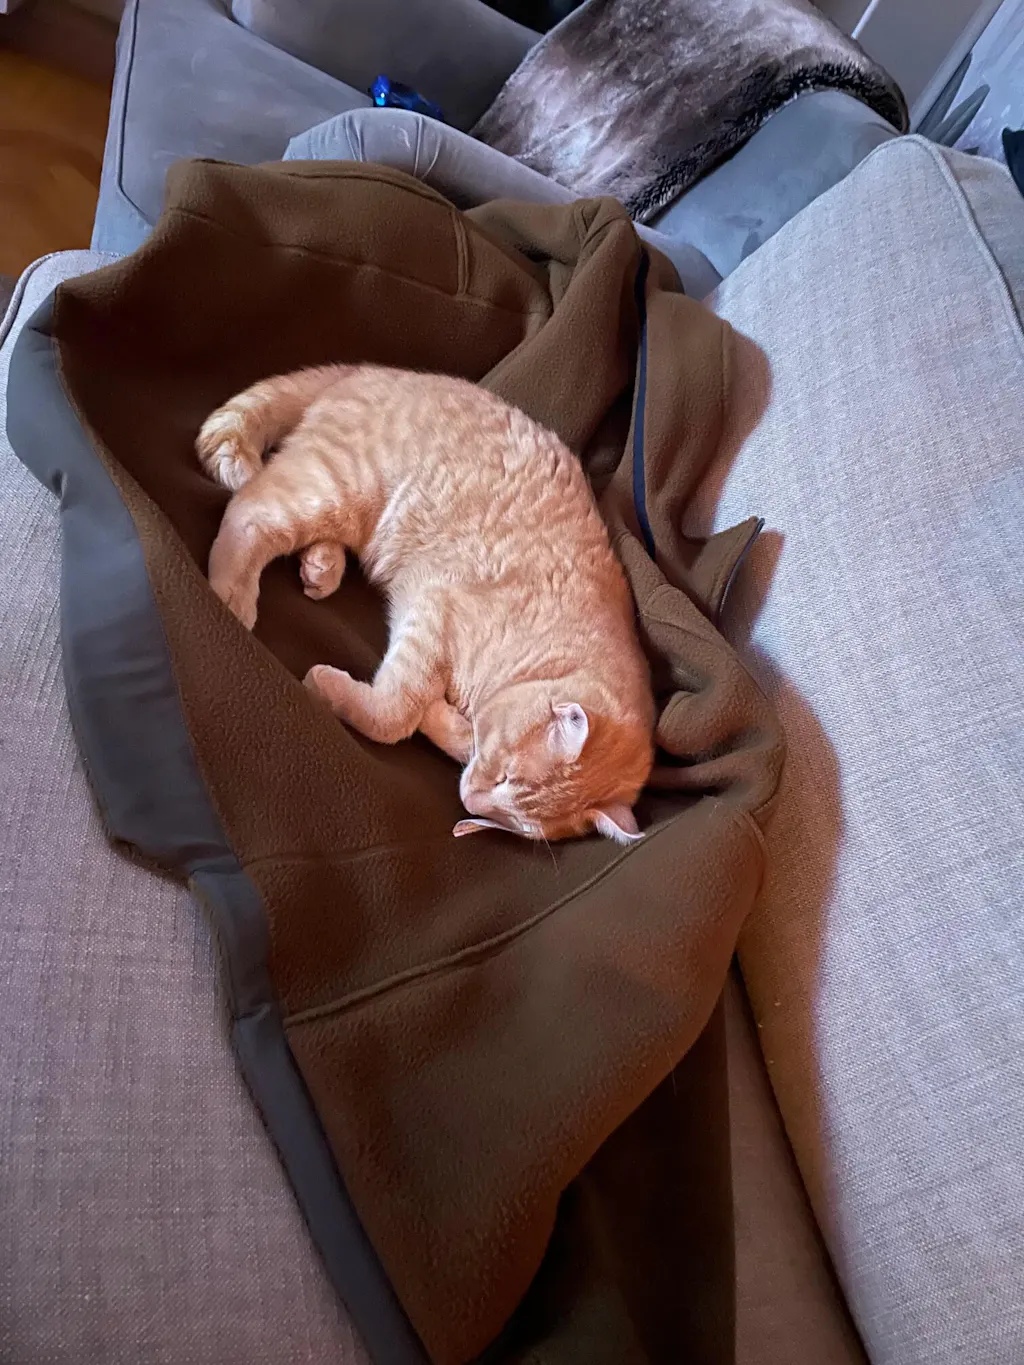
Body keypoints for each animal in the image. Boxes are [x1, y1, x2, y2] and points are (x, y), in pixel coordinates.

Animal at [196, 363, 655, 844]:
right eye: (504, 777)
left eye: (511, 821)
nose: (469, 799)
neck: (542, 652)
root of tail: (381, 371)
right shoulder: (434, 612)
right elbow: (394, 715)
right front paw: (340, 691)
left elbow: (450, 733)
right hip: (332, 490)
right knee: (249, 510)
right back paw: (232, 595)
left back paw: (322, 563)